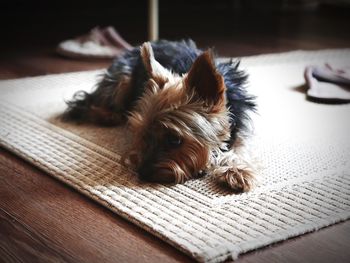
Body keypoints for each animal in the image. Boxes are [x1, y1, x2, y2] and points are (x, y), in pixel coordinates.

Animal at [63, 39, 256, 192]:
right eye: (141, 133)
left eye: (174, 140)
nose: (143, 173)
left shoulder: (241, 126)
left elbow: (240, 148)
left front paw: (237, 171)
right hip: (122, 78)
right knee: (95, 101)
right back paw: (109, 115)